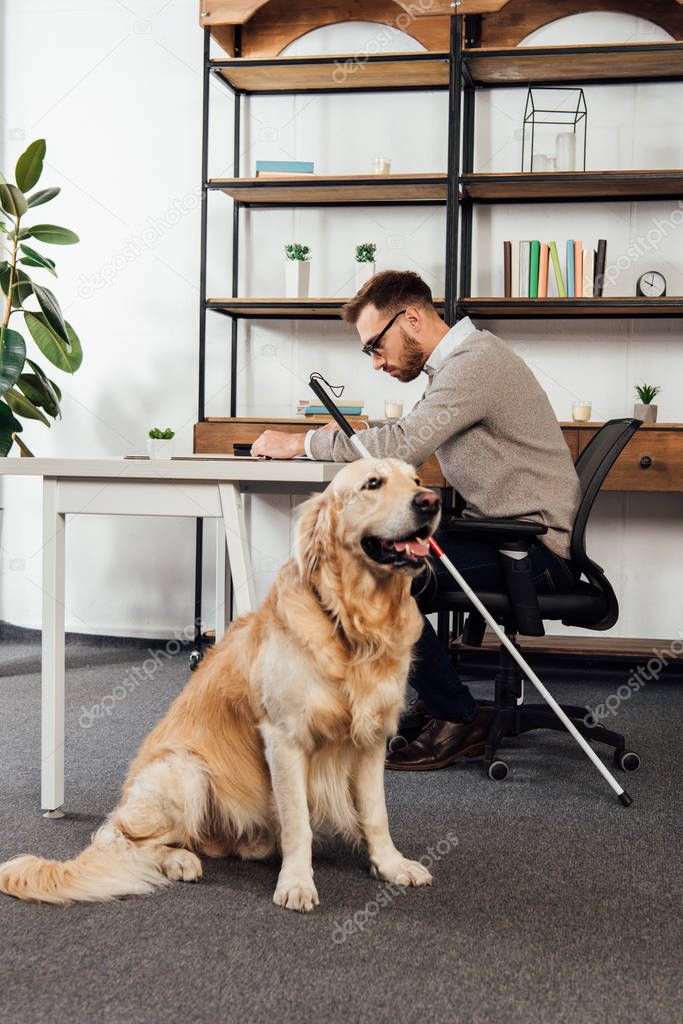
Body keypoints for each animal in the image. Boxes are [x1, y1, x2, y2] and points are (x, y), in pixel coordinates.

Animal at [0, 456, 440, 913]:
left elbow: (376, 815)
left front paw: (391, 865)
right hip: (187, 770)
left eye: (416, 480)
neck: (353, 625)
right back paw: (179, 861)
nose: (431, 501)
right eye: (372, 483)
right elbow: (297, 821)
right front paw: (297, 882)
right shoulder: (285, 739)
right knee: (123, 839)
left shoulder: (372, 738)